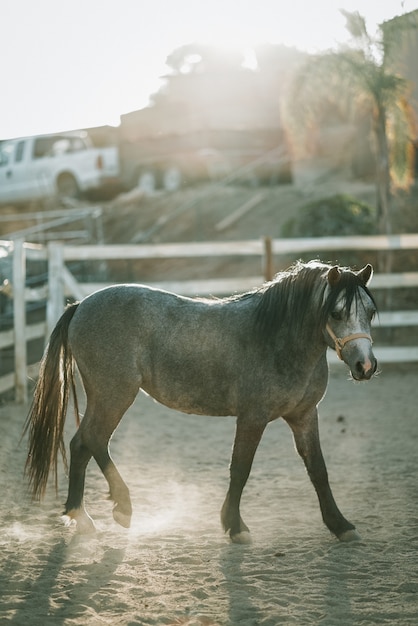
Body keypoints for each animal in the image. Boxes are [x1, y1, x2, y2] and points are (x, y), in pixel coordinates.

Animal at [26, 258, 378, 540]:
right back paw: (119, 508)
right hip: (114, 394)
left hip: (105, 397)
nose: (366, 365)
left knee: (81, 444)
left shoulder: (304, 415)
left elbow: (318, 469)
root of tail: (80, 305)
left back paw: (80, 516)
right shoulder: (252, 417)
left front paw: (341, 525)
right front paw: (235, 526)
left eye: (371, 312)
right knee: (94, 440)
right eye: (336, 313)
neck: (276, 339)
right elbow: (241, 469)